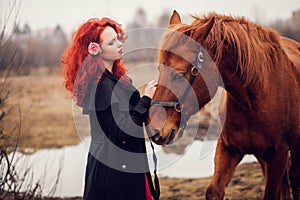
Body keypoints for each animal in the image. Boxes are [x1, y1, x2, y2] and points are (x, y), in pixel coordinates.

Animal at [148, 11, 300, 200]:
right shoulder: (228, 149)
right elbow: (214, 190)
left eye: (179, 75)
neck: (251, 100)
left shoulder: (279, 155)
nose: (154, 129)